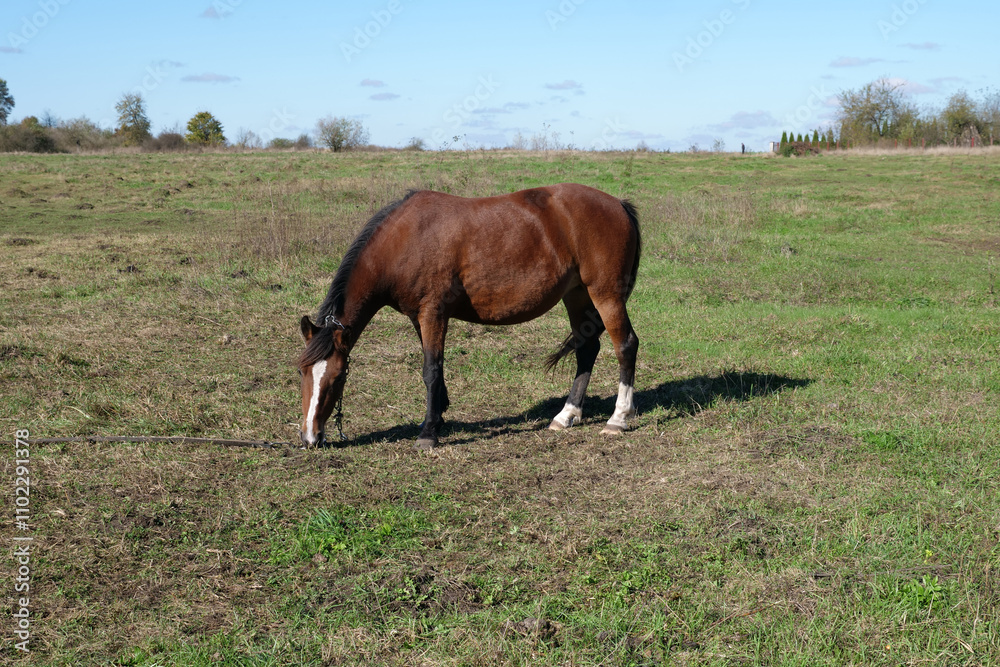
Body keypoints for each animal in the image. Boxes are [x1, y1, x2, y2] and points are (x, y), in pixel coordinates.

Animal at [297, 183, 641, 449]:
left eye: (337, 377)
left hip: (605, 295)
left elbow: (431, 369)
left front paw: (428, 433)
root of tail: (619, 205)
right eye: (302, 372)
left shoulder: (433, 313)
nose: (310, 437)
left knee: (626, 345)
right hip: (577, 295)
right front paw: (439, 417)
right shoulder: (418, 317)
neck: (405, 239)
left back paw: (618, 418)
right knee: (587, 349)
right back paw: (567, 414)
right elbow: (434, 369)